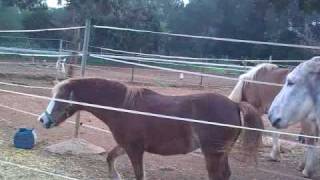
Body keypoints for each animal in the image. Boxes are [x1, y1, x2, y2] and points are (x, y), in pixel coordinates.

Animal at [38, 77, 262, 180]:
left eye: (59, 98)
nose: (43, 119)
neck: (122, 106)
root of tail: (235, 104)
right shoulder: (126, 145)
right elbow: (110, 157)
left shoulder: (135, 149)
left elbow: (139, 175)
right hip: (221, 154)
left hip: (212, 154)